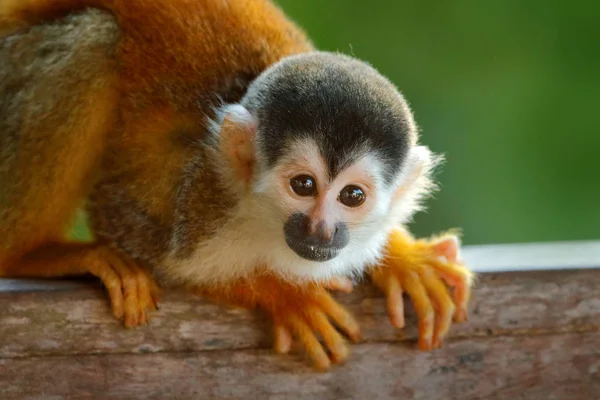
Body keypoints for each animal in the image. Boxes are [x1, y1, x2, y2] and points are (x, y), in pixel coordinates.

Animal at [2, 0, 476, 370]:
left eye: (352, 196)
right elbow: (136, 231)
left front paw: (403, 258)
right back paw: (31, 253)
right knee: (93, 45)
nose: (321, 230)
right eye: (303, 185)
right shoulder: (199, 196)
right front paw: (283, 292)